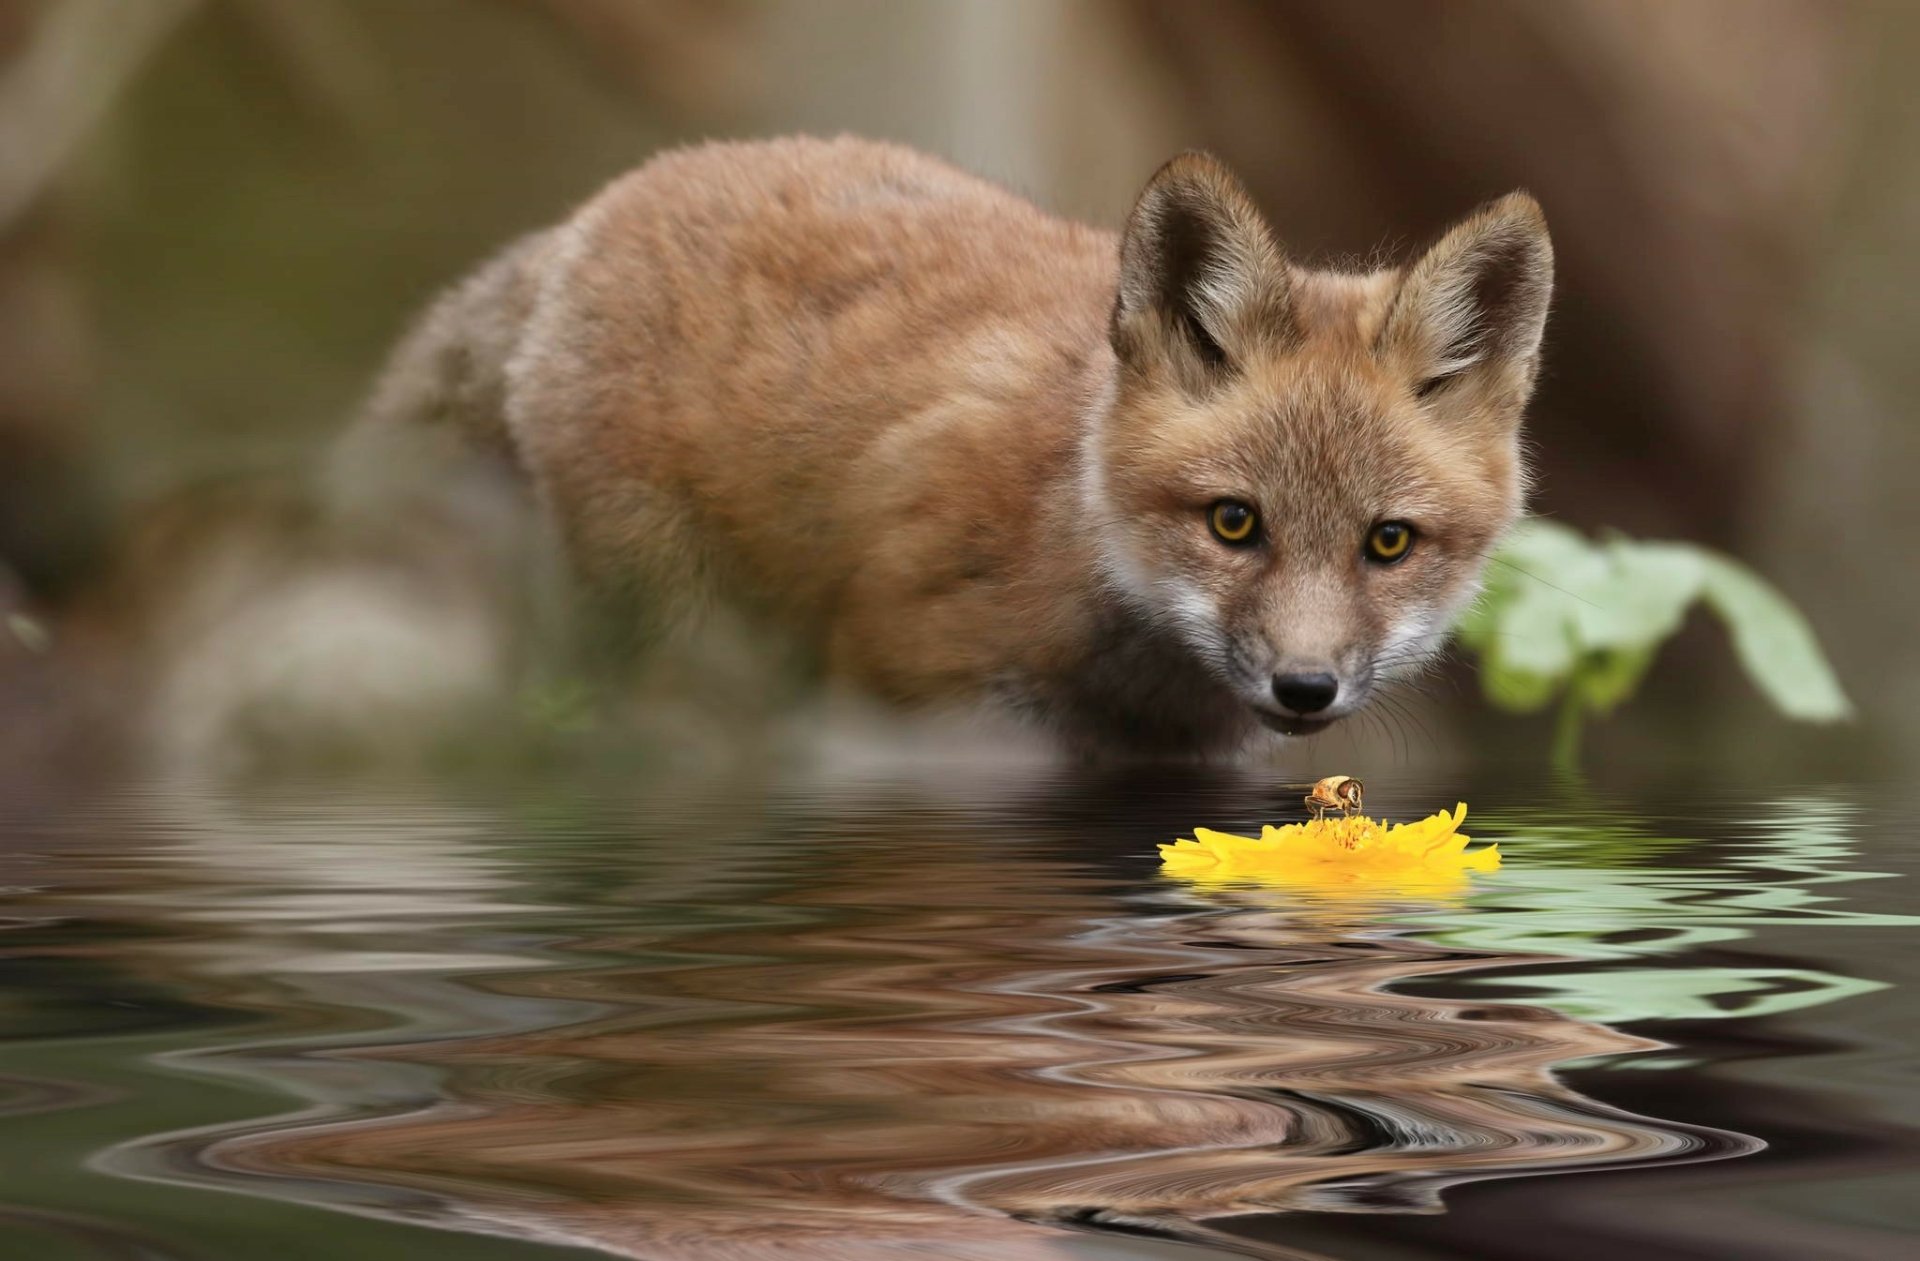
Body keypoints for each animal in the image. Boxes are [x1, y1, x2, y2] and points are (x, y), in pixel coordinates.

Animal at [337, 135, 1551, 756]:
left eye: (1388, 543)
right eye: (1233, 522)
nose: (1306, 689)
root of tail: (603, 204)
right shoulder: (915, 706)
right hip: (675, 634)